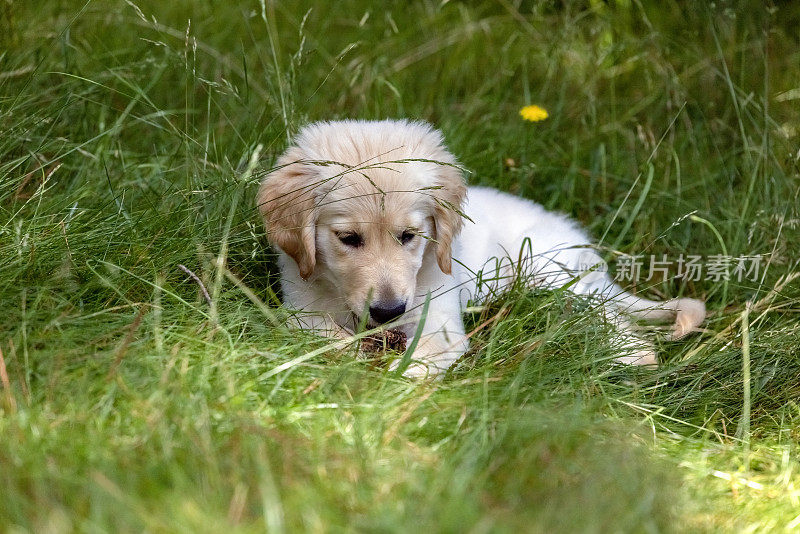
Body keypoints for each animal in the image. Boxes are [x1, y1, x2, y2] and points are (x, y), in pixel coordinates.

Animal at [258, 119, 708, 378]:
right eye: (348, 239)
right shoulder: (301, 305)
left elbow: (417, 362)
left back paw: (634, 358)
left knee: (608, 318)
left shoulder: (439, 319)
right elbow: (322, 335)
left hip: (548, 272)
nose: (388, 312)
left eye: (409, 236)